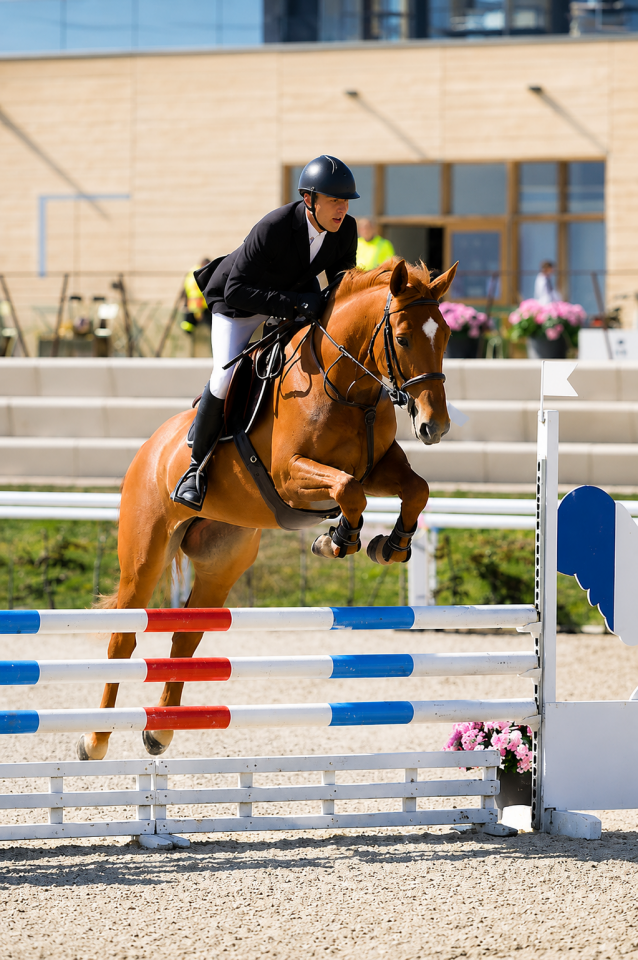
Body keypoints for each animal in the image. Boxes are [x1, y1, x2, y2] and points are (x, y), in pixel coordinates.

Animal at [77, 257, 456, 760]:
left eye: (446, 335)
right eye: (403, 338)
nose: (436, 426)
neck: (349, 389)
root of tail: (150, 448)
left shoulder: (379, 466)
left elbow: (415, 489)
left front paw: (389, 545)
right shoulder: (290, 476)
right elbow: (349, 490)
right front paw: (338, 539)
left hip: (223, 558)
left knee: (186, 634)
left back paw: (160, 731)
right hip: (144, 553)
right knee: (123, 635)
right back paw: (94, 740)